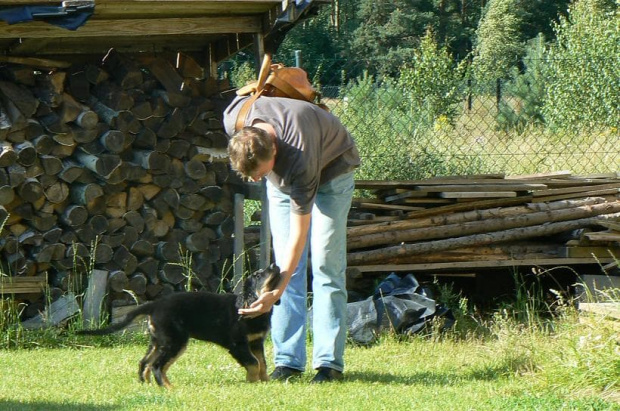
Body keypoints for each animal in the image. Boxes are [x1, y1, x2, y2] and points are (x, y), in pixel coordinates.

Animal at [79, 266, 280, 388]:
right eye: (257, 275)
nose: (275, 265)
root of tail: (155, 305)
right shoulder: (238, 344)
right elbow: (253, 362)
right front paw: (252, 381)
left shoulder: (256, 342)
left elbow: (262, 362)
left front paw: (266, 381)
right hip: (175, 341)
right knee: (157, 365)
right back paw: (169, 388)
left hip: (160, 341)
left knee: (145, 362)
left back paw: (148, 385)